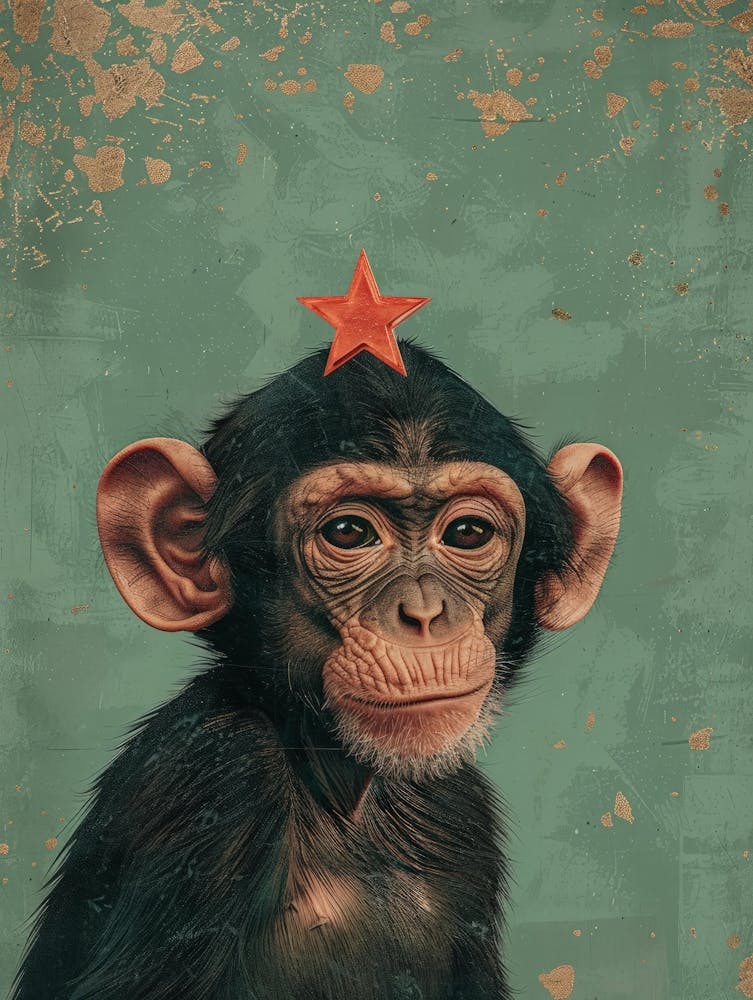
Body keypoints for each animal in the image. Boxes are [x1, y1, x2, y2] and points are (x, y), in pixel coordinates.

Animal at [11, 341, 622, 1000]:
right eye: (349, 533)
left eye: (467, 532)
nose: (424, 613)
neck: (341, 792)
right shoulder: (213, 777)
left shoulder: (463, 810)